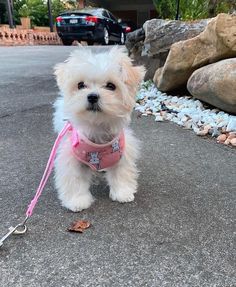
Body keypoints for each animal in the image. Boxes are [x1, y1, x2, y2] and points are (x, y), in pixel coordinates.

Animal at [53, 47, 145, 213]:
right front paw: (77, 201)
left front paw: (122, 192)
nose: (92, 97)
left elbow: (121, 172)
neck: (97, 127)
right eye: (80, 85)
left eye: (111, 86)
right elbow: (75, 179)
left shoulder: (122, 152)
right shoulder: (71, 158)